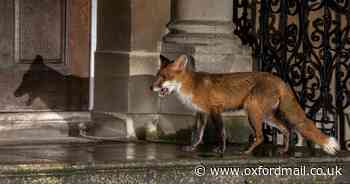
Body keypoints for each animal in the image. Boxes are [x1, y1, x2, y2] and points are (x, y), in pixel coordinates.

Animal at [150, 54, 340, 155]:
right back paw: (284, 150)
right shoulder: (202, 113)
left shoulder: (215, 110)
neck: (191, 85)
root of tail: (280, 80)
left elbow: (221, 132)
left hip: (252, 112)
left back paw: (247, 152)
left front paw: (221, 150)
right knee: (287, 129)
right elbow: (198, 134)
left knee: (262, 136)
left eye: (164, 77)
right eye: (157, 75)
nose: (151, 87)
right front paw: (192, 147)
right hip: (266, 116)